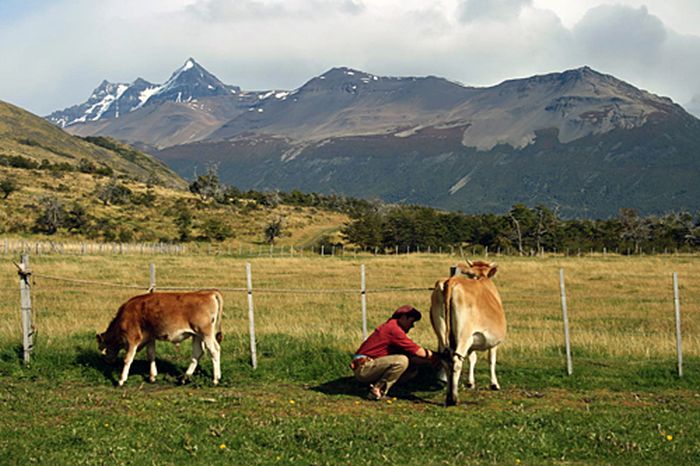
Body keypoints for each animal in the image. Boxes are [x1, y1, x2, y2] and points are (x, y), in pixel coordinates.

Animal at [430, 260, 506, 406]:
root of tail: (452, 280)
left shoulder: (472, 340)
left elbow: (472, 358)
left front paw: (470, 382)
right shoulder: (494, 342)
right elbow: (491, 360)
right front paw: (494, 384)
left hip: (441, 333)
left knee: (446, 359)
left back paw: (448, 395)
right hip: (463, 335)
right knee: (456, 361)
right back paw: (453, 399)